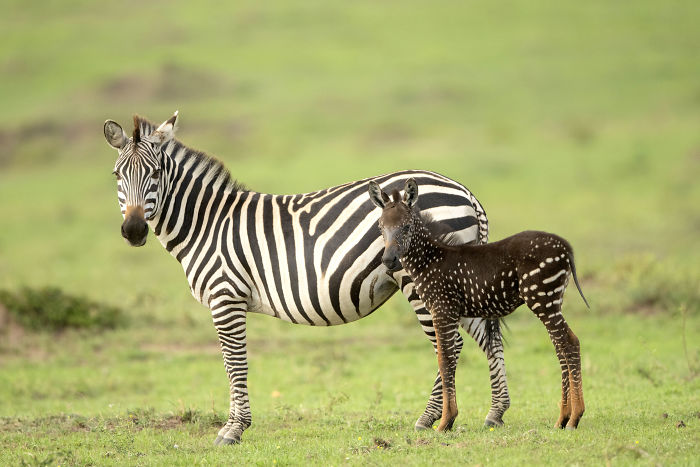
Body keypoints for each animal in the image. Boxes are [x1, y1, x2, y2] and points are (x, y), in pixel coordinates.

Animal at [102, 111, 508, 444]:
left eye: (156, 174)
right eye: (117, 175)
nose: (134, 230)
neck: (207, 224)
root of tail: (465, 191)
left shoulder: (226, 297)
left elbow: (235, 361)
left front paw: (233, 430)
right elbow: (231, 362)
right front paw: (235, 426)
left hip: (423, 278)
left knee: (449, 343)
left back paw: (432, 419)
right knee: (485, 338)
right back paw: (495, 413)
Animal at [370, 178, 588, 432]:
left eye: (405, 227)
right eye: (380, 228)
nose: (388, 261)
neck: (430, 260)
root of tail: (565, 247)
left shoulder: (443, 310)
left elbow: (445, 360)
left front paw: (445, 421)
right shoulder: (449, 312)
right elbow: (447, 359)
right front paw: (448, 419)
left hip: (542, 298)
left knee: (569, 343)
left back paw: (574, 417)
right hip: (552, 300)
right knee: (561, 345)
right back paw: (562, 418)